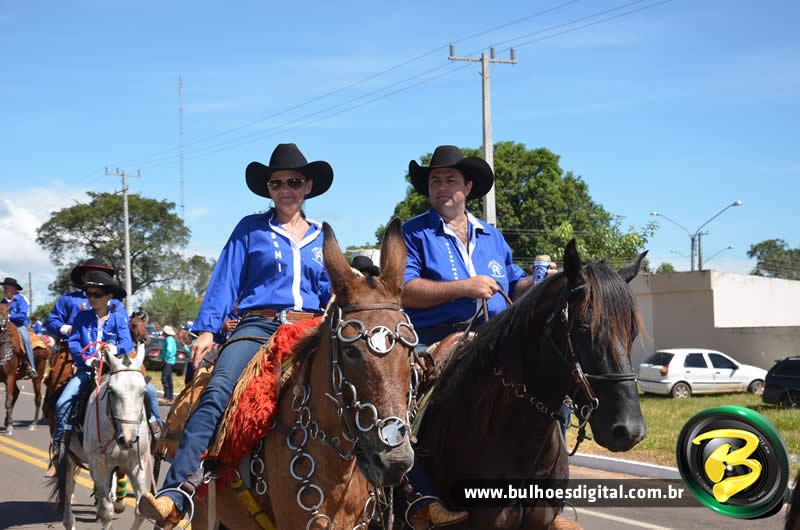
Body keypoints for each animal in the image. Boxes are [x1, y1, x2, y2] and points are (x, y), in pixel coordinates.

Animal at [0, 304, 50, 436]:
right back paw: (7, 421)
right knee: (17, 392)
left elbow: (8, 401)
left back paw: (33, 424)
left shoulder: (10, 376)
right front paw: (9, 424)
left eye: (7, 310)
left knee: (38, 398)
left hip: (37, 377)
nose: (1, 322)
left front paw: (10, 428)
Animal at [49, 343, 153, 530]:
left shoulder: (136, 465)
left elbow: (141, 509)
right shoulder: (98, 465)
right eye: (111, 391)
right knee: (68, 489)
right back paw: (70, 519)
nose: (128, 439)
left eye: (143, 391)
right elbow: (106, 512)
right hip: (67, 456)